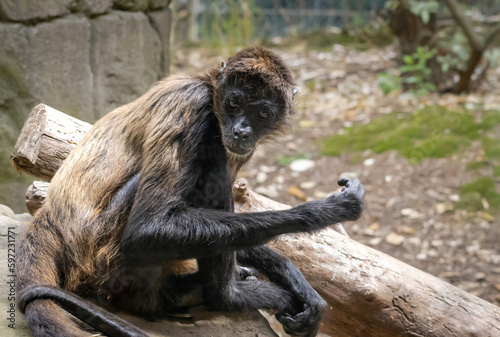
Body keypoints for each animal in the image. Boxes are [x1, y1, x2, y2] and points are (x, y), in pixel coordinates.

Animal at [17, 47, 366, 336]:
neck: (211, 97)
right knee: (210, 162)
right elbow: (148, 229)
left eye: (262, 114)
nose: (242, 130)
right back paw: (223, 297)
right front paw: (318, 213)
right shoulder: (192, 107)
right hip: (103, 255)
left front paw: (293, 276)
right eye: (234, 104)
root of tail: (49, 217)